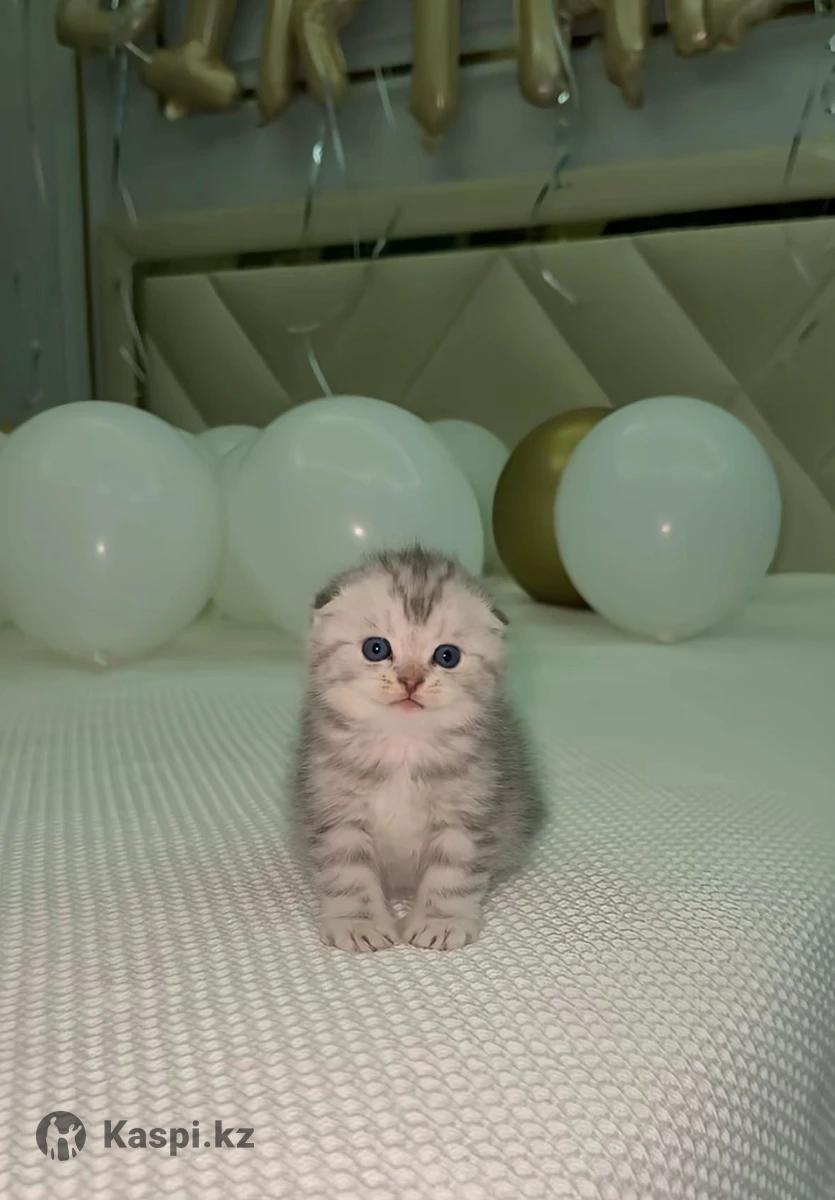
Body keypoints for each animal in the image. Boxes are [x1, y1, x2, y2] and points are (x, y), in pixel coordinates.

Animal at [294, 545, 541, 951]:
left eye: (447, 656)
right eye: (376, 648)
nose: (410, 681)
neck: (403, 745)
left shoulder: (467, 810)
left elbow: (452, 873)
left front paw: (440, 921)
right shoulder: (335, 809)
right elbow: (348, 872)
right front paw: (358, 923)